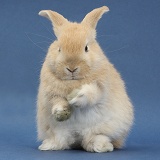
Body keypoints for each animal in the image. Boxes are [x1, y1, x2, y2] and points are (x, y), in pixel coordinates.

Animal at [37, 5, 133, 152]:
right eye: (59, 48)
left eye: (86, 48)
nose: (71, 68)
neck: (73, 82)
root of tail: (77, 137)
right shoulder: (51, 93)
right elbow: (56, 101)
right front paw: (60, 111)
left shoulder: (100, 86)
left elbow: (92, 94)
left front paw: (78, 97)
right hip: (57, 131)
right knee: (62, 141)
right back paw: (48, 145)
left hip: (104, 128)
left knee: (93, 138)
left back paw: (102, 146)